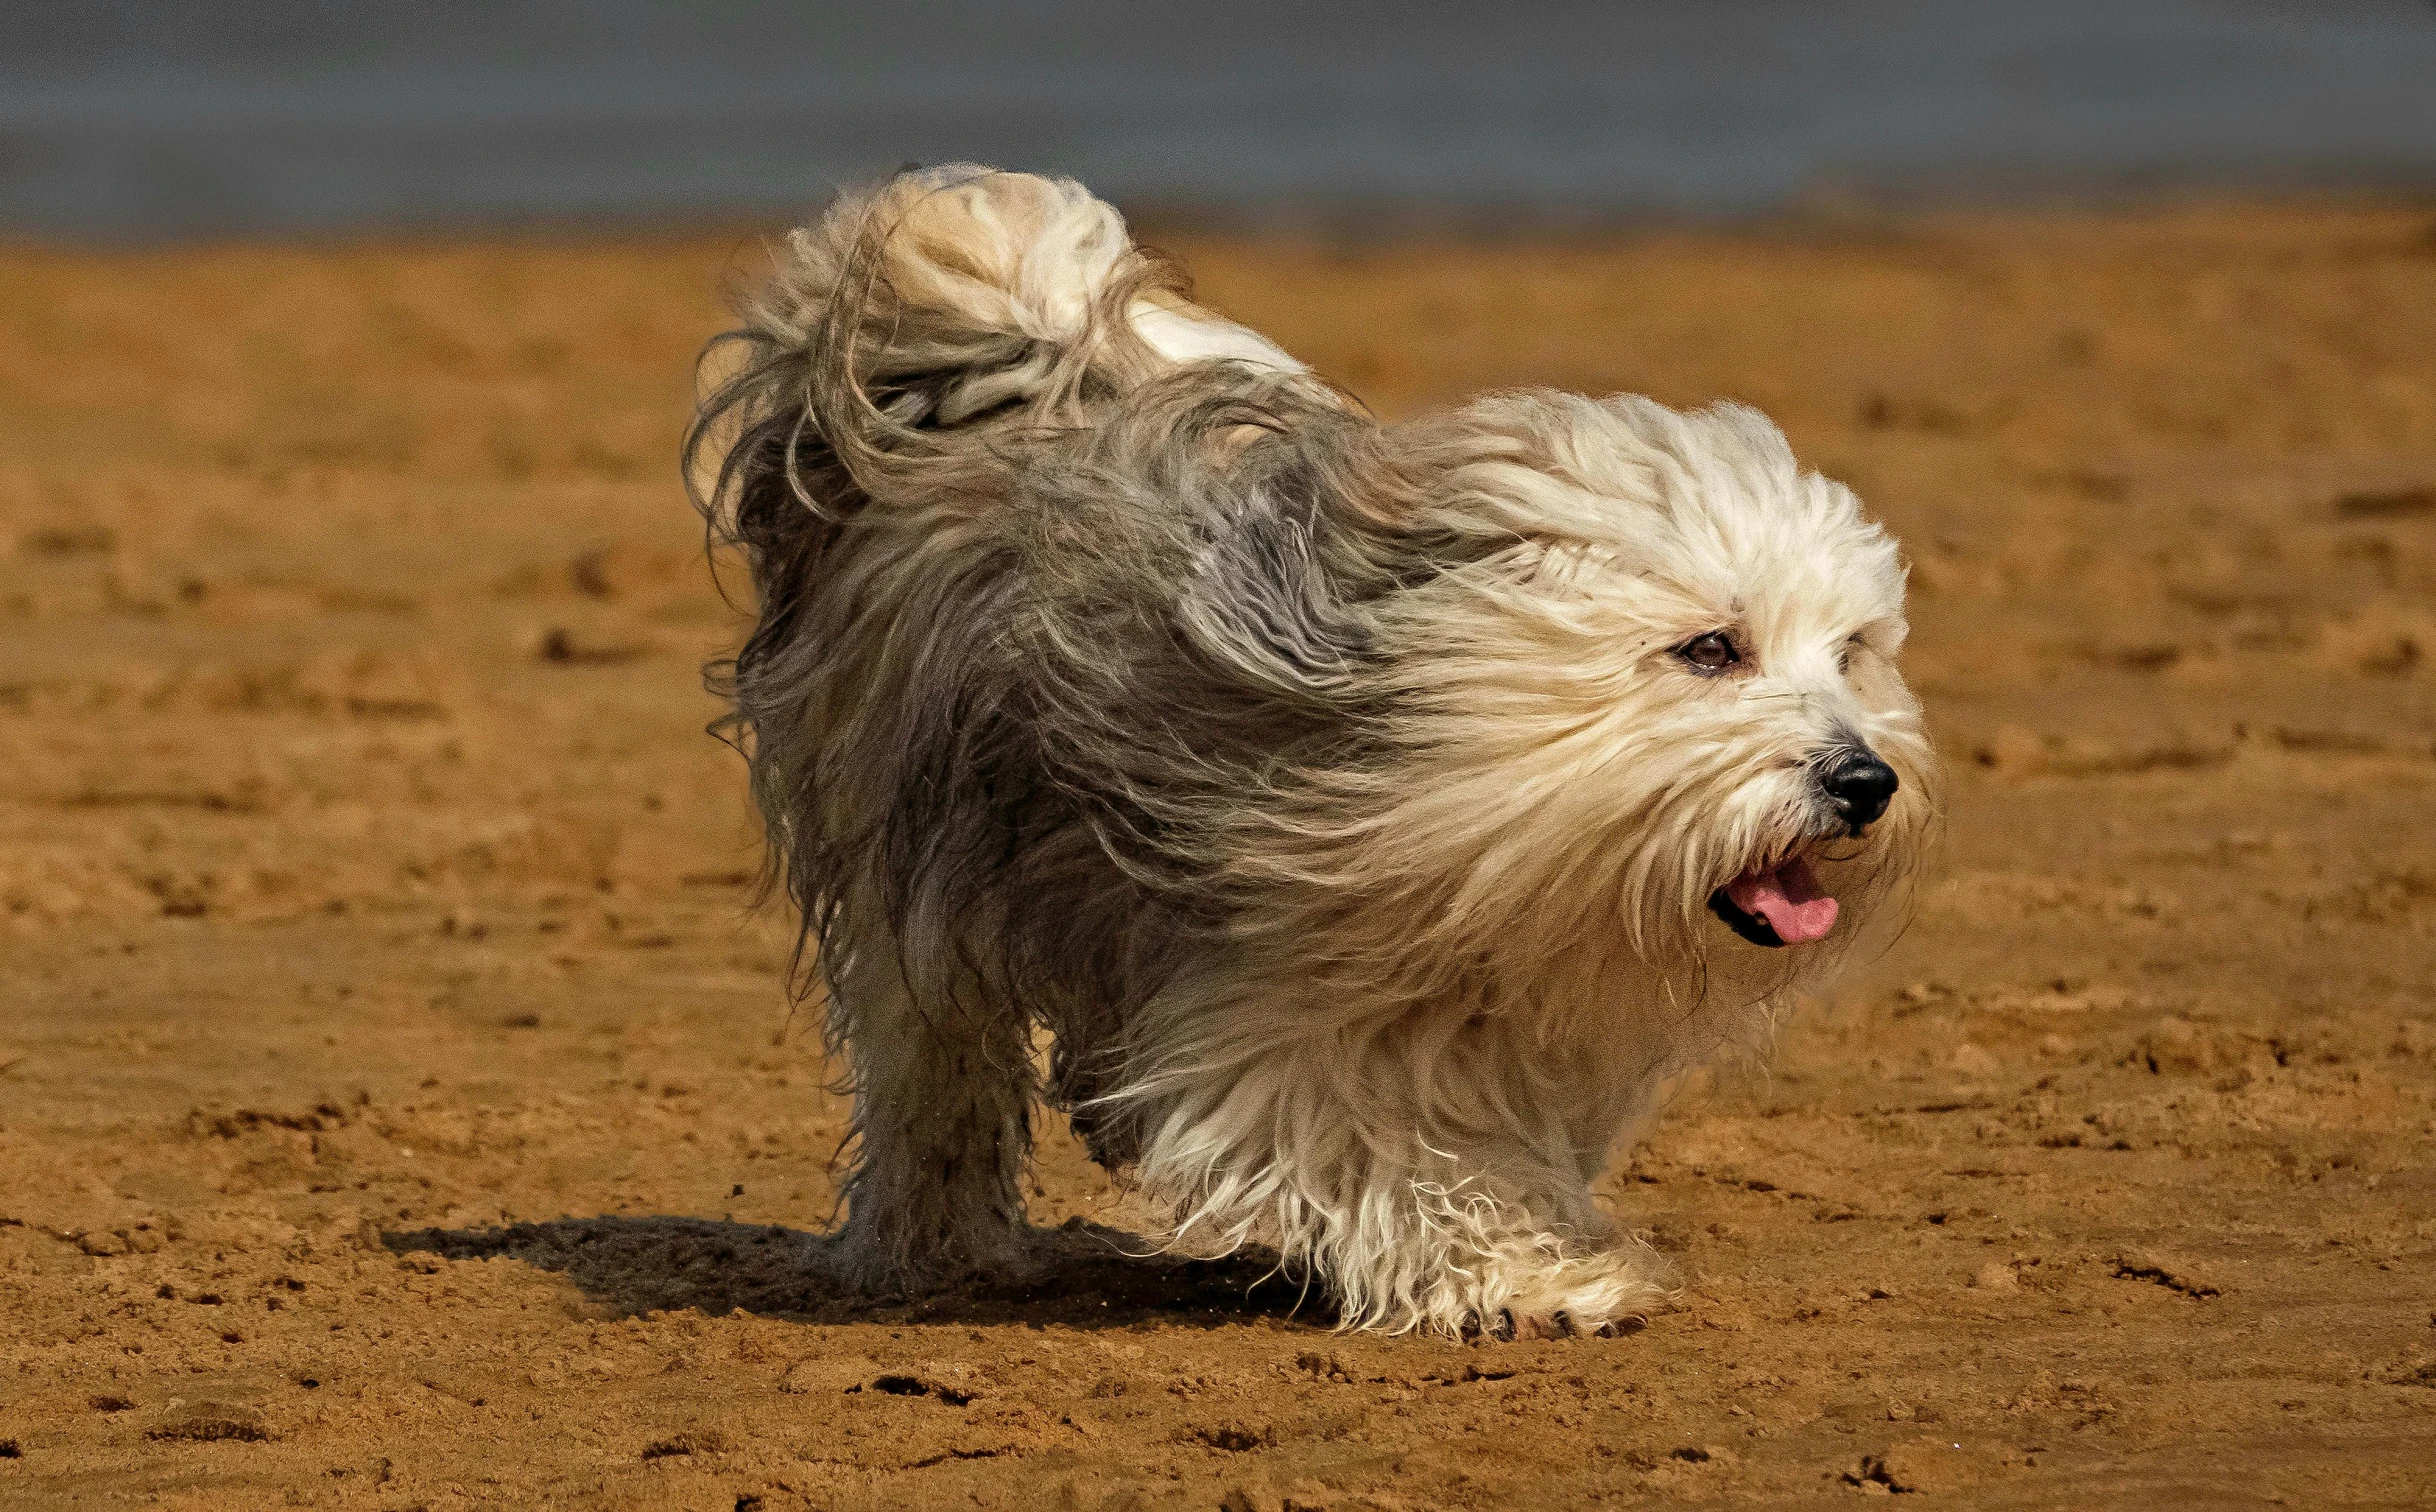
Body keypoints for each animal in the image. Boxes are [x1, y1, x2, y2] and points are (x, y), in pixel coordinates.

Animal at [691, 165, 1939, 1334]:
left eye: (1852, 651)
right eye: (1712, 649)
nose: (1864, 781)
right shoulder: (1260, 1016)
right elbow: (1372, 1151)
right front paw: (1523, 1278)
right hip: (903, 866)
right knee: (929, 1067)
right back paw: (932, 1249)